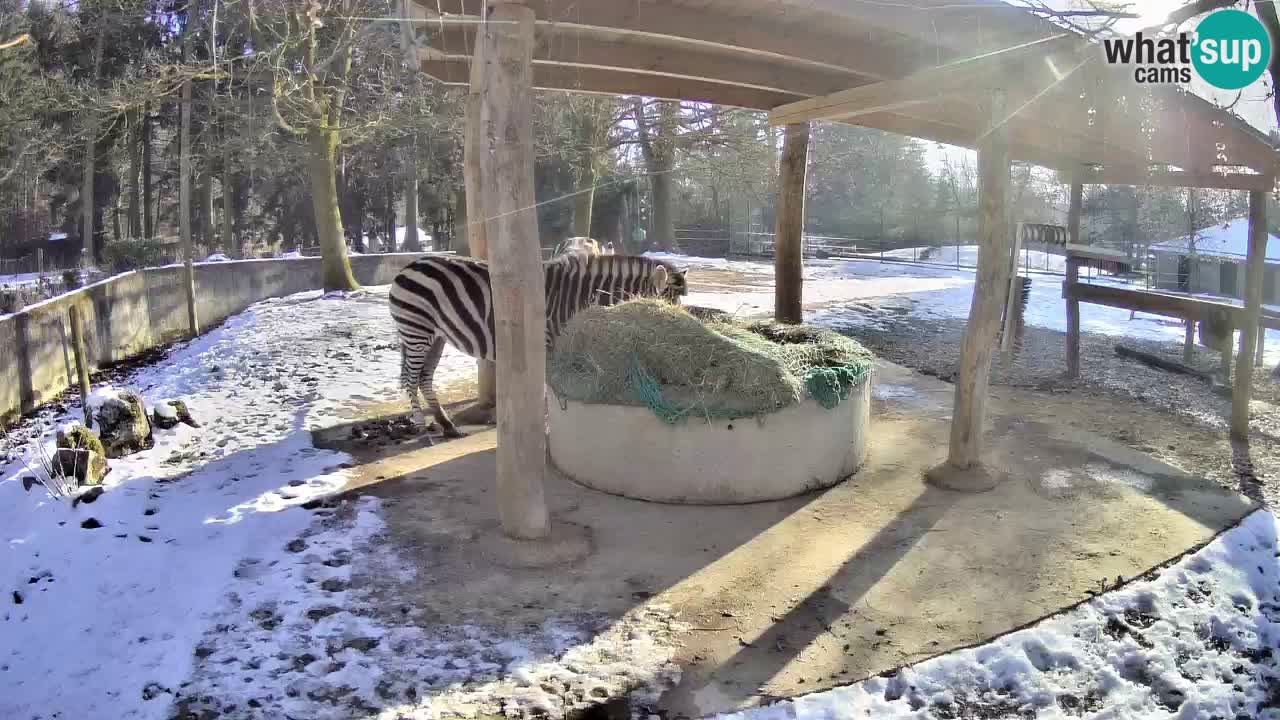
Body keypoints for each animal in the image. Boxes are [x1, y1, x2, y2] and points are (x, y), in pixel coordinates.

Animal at [391, 249, 691, 438]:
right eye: (666, 308)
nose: (681, 336)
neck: (579, 298)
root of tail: (410, 265)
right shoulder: (548, 343)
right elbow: (548, 387)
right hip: (417, 330)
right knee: (412, 379)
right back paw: (422, 426)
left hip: (436, 336)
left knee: (424, 378)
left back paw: (447, 426)